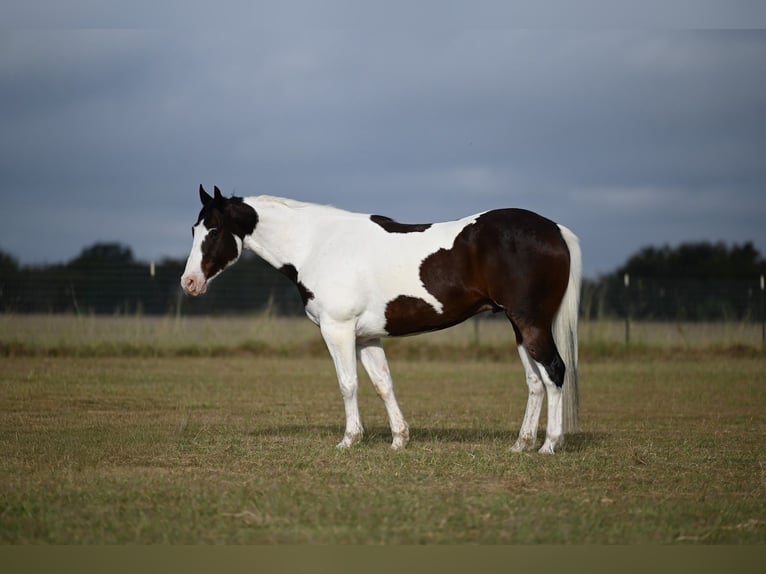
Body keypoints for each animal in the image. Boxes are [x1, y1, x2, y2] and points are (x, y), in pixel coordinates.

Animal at [181, 185, 581, 454]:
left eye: (213, 230)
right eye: (194, 229)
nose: (190, 283)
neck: (317, 245)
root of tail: (555, 229)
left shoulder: (338, 331)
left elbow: (348, 384)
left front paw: (349, 440)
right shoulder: (367, 337)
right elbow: (383, 384)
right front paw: (399, 440)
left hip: (531, 323)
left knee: (555, 372)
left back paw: (549, 445)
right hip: (519, 326)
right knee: (535, 381)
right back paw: (521, 444)